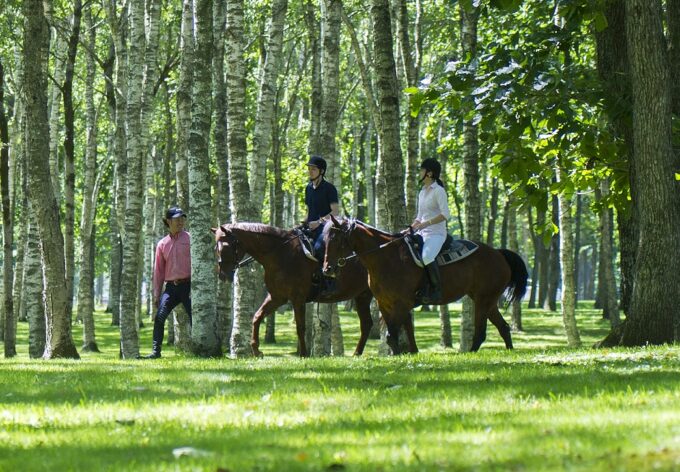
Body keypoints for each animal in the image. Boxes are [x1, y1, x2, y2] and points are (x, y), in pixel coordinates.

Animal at [214, 223, 374, 356]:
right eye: (216, 248)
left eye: (227, 246)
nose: (223, 275)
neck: (281, 254)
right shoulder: (277, 297)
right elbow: (257, 317)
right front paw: (256, 350)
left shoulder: (298, 298)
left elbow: (300, 326)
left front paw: (303, 354)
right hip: (363, 296)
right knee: (366, 324)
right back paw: (357, 354)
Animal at [322, 218, 528, 354]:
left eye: (336, 240)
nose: (327, 269)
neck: (386, 258)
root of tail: (499, 254)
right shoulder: (385, 304)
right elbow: (395, 334)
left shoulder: (401, 303)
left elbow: (391, 335)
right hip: (488, 301)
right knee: (503, 327)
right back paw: (509, 351)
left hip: (483, 300)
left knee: (481, 331)